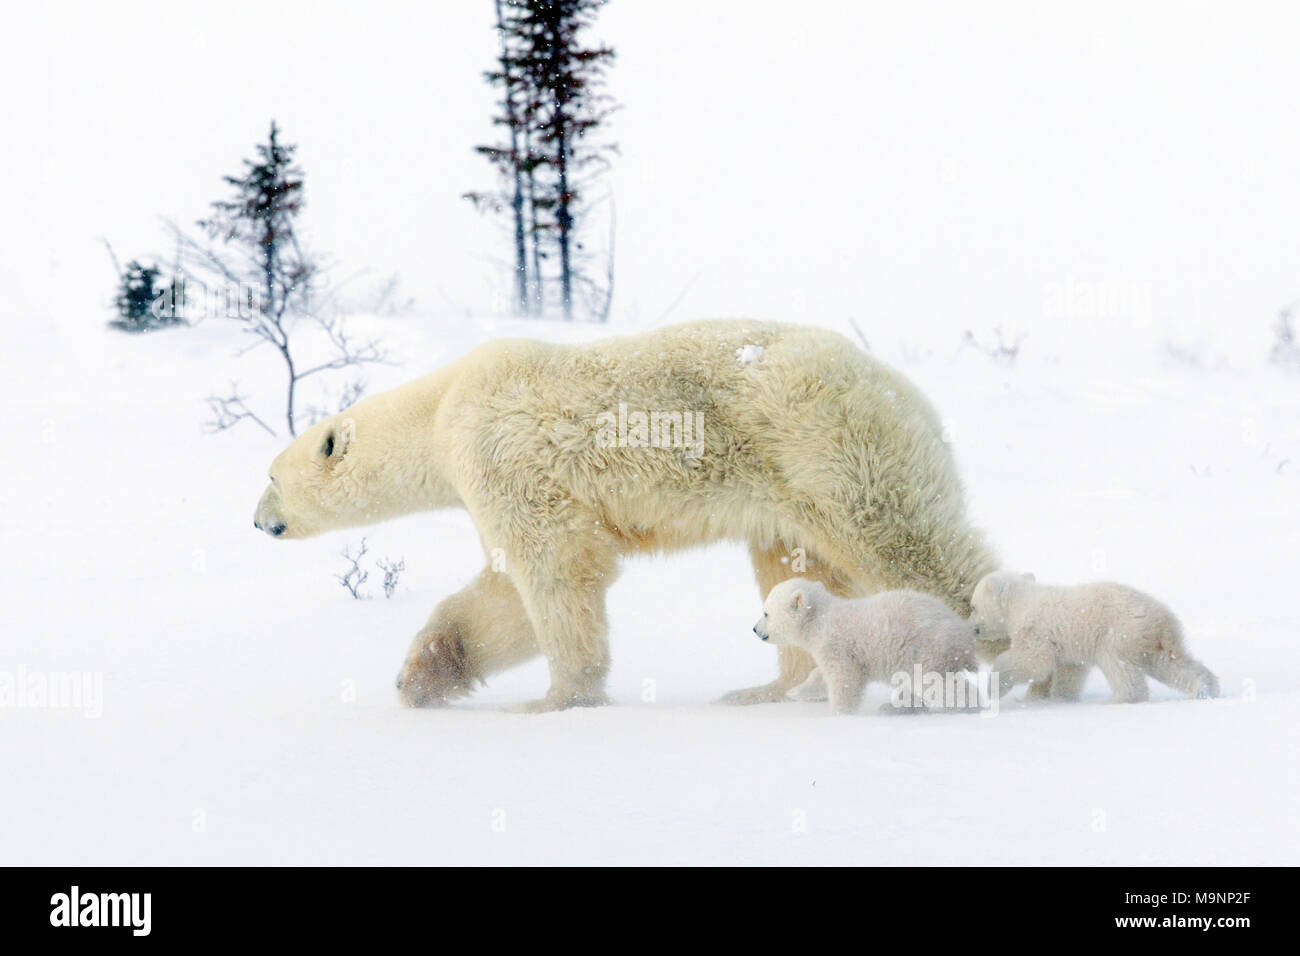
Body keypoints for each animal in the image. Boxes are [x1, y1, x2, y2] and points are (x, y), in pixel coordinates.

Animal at [250, 319, 993, 712]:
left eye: (270, 477)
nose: (258, 521)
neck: (439, 412)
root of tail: (904, 391)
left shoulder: (503, 454)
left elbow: (554, 567)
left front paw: (553, 700)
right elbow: (503, 595)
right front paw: (422, 676)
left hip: (828, 447)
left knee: (907, 542)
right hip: (788, 488)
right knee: (795, 566)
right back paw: (768, 689)